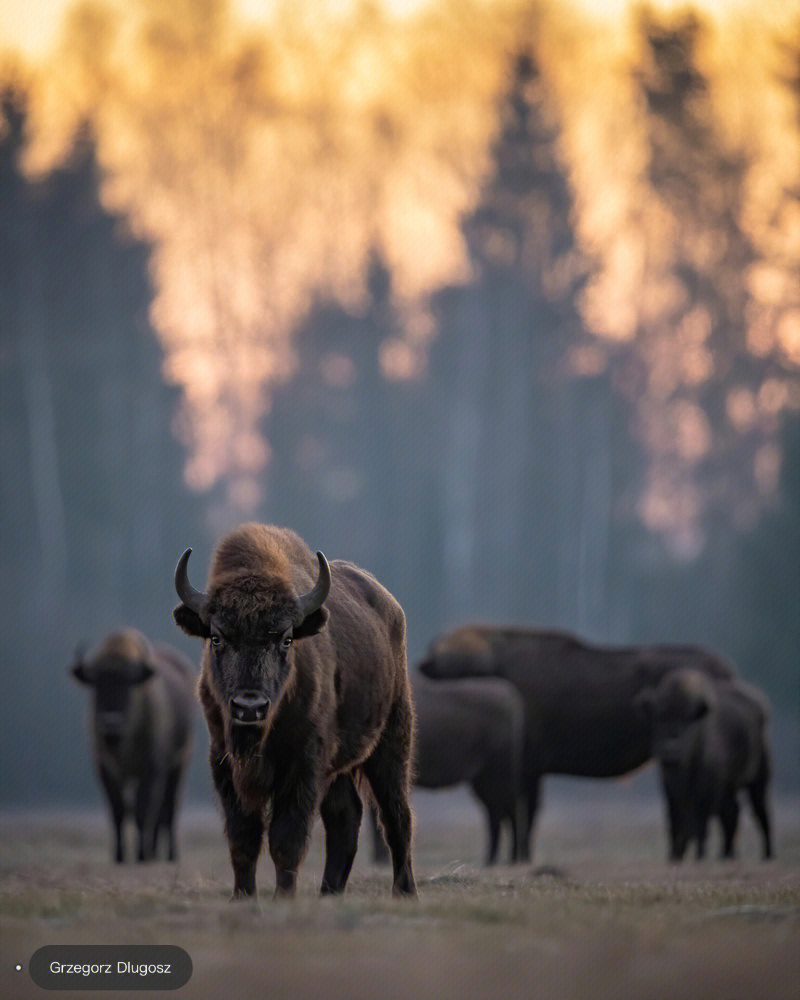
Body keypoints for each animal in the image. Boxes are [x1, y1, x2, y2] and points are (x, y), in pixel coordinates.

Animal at [71, 628, 197, 864]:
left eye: (129, 683)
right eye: (97, 683)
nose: (111, 722)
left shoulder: (151, 769)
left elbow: (141, 810)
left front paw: (140, 855)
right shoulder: (105, 769)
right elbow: (118, 811)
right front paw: (119, 856)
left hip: (178, 765)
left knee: (169, 811)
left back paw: (169, 855)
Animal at [172, 524, 416, 900]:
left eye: (286, 639)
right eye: (216, 637)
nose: (249, 707)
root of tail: (391, 607)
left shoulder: (302, 765)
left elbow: (286, 840)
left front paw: (283, 897)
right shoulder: (224, 764)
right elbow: (243, 841)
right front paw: (243, 897)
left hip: (391, 741)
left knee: (396, 816)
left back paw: (405, 891)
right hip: (338, 769)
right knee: (346, 818)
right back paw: (329, 892)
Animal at [374, 672, 528, 868]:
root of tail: (513, 699)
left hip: (501, 776)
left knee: (511, 811)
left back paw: (512, 858)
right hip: (482, 781)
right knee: (496, 815)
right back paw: (491, 859)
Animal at [418, 624, 736, 860]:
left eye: (446, 670)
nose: (422, 666)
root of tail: (724, 670)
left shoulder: (525, 771)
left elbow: (523, 813)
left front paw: (520, 856)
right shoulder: (529, 773)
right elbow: (522, 814)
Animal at [636, 664, 772, 860]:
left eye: (687, 720)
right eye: (658, 718)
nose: (670, 749)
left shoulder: (706, 789)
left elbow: (700, 824)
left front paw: (699, 855)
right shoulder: (670, 788)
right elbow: (676, 822)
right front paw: (674, 856)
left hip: (759, 780)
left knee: (761, 813)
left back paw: (767, 855)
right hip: (730, 788)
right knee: (732, 813)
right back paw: (727, 855)